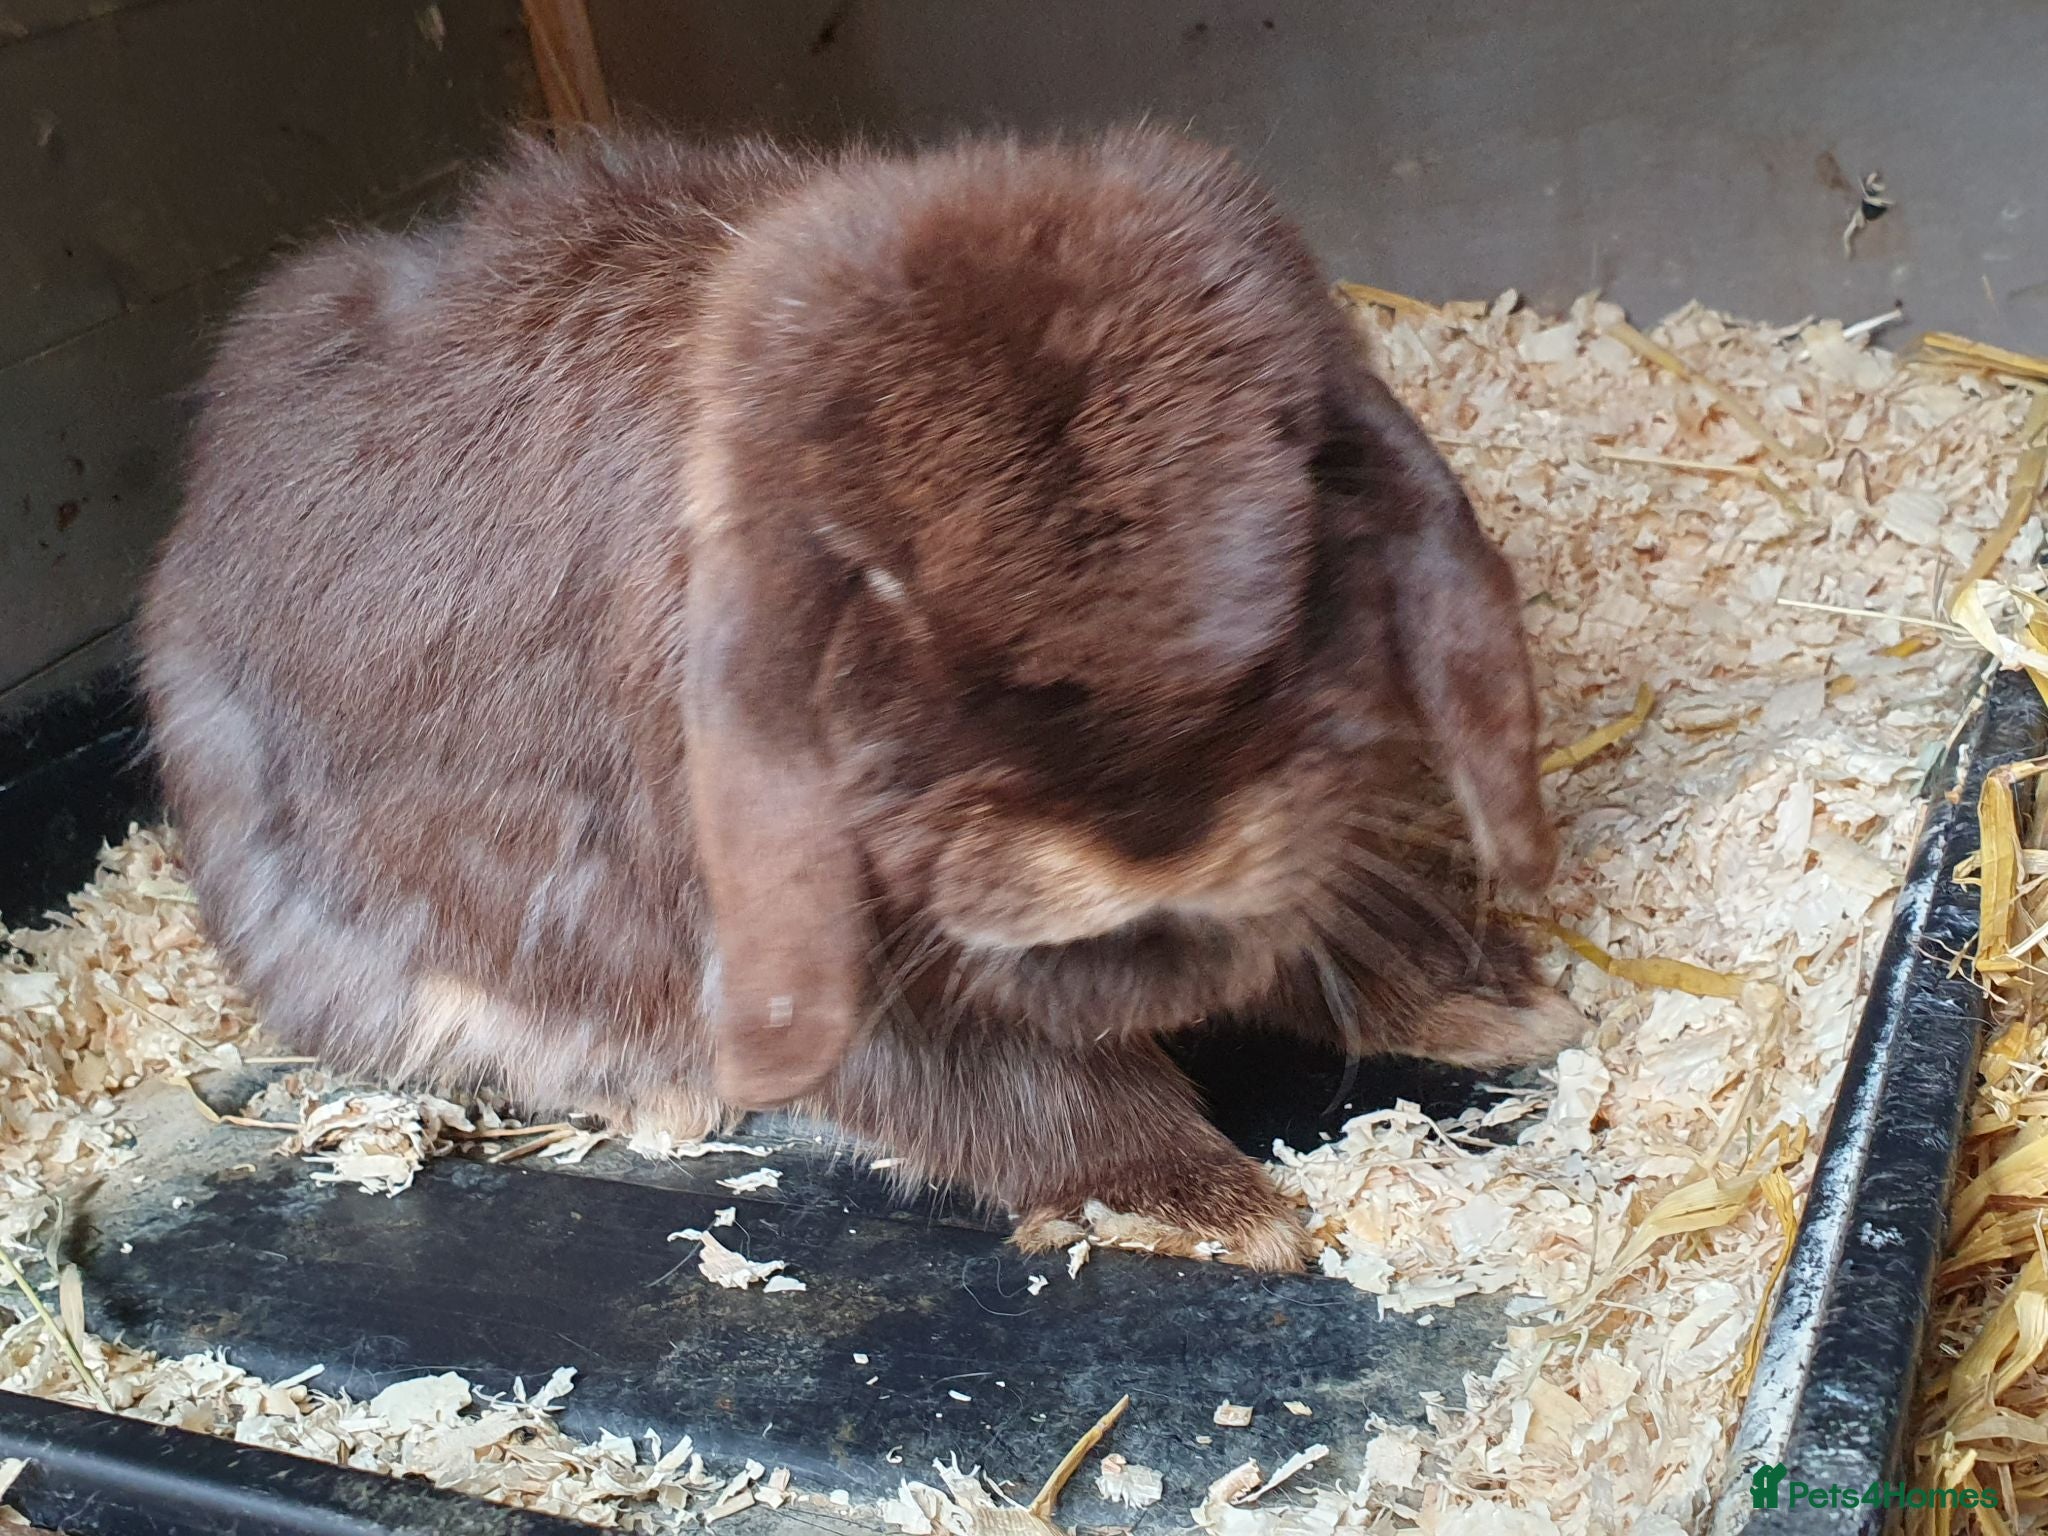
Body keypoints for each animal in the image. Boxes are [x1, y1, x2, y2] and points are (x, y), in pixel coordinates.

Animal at [139, 126, 1581, 1273]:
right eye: (868, 576)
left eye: (1299, 499)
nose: (1156, 848)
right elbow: (1007, 1091)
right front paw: (1208, 1210)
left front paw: (1498, 1000)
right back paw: (660, 1100)